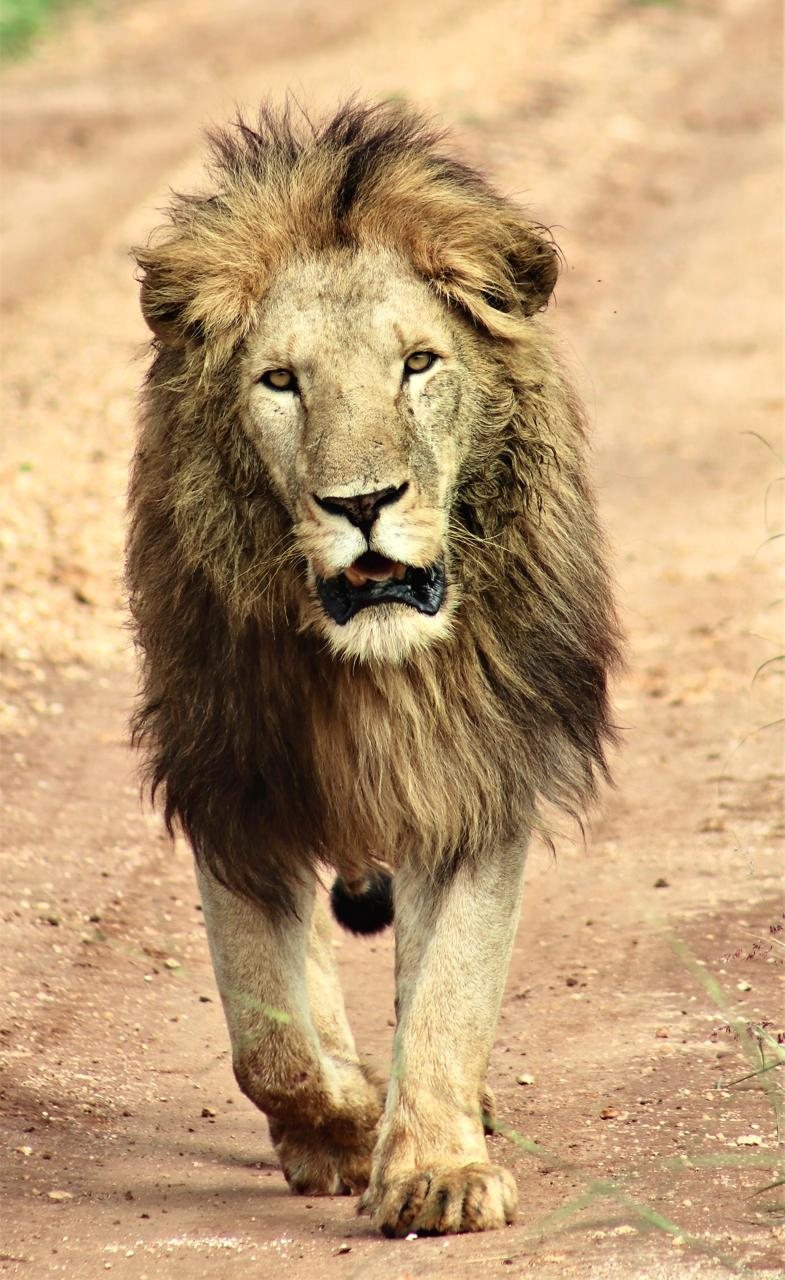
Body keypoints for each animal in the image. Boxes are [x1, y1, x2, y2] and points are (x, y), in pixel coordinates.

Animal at [127, 101, 621, 1238]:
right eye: (280, 381)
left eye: (418, 364)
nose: (362, 502)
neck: (369, 667)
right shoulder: (228, 787)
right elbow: (267, 1040)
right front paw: (345, 1125)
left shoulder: (473, 779)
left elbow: (447, 993)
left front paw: (435, 1167)